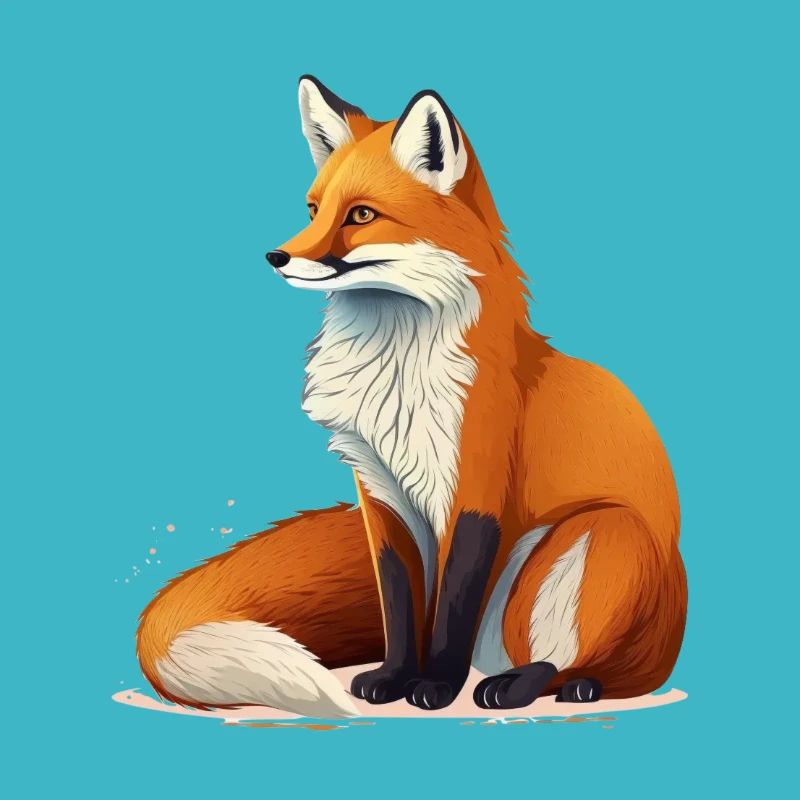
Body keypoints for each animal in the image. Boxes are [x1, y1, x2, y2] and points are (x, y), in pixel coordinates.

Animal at [137, 75, 687, 717]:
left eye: (361, 215)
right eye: (313, 209)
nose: (276, 256)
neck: (395, 378)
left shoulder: (474, 491)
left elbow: (449, 609)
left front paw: (438, 686)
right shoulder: (380, 491)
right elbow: (400, 606)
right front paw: (395, 677)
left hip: (596, 538)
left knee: (570, 662)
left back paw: (536, 685)